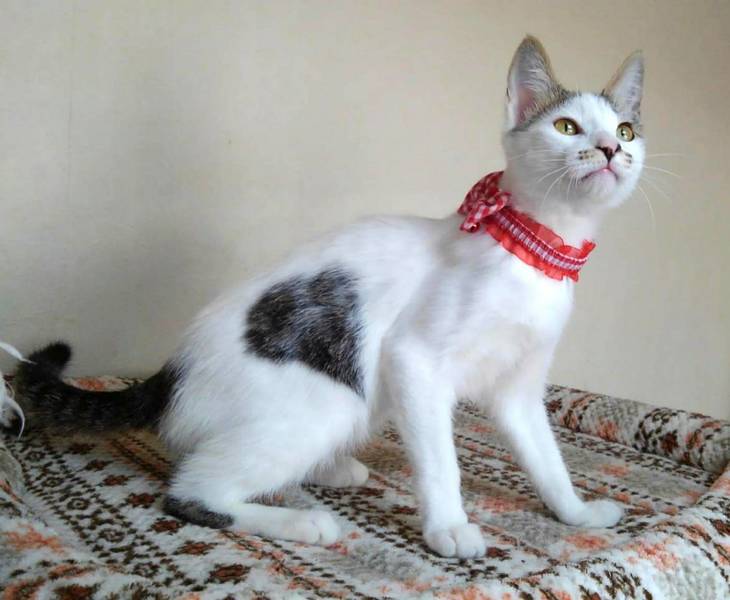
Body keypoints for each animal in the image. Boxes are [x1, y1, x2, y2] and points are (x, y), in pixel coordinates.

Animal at [12, 36, 644, 559]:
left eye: (626, 130)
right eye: (567, 127)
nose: (610, 150)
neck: (534, 253)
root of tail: (172, 373)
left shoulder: (518, 388)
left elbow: (546, 459)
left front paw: (576, 513)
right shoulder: (414, 360)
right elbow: (441, 459)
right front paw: (448, 527)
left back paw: (333, 471)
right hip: (329, 398)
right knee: (190, 490)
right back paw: (301, 521)